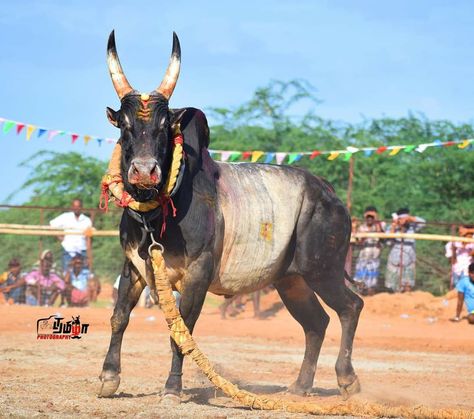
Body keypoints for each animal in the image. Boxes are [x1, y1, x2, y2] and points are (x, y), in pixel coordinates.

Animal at [99, 30, 362, 404]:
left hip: (322, 268)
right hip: (291, 279)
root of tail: (329, 192)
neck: (159, 213)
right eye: (124, 125)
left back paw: (347, 379)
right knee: (316, 323)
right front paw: (109, 378)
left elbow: (182, 332)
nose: (145, 171)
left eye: (165, 126)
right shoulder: (133, 266)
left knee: (350, 307)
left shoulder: (197, 275)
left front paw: (173, 388)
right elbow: (119, 317)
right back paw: (300, 386)